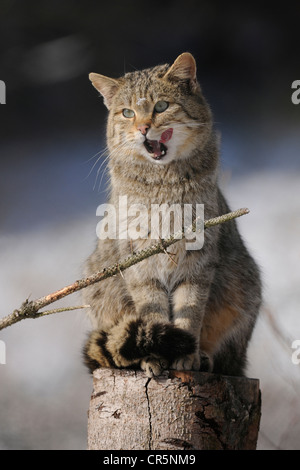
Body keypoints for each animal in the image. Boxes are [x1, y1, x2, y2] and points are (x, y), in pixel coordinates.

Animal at [83, 53, 262, 376]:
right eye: (127, 112)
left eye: (161, 106)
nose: (143, 128)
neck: (162, 184)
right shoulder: (139, 261)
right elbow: (152, 311)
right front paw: (155, 354)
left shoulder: (198, 258)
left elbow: (189, 310)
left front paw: (187, 355)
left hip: (245, 288)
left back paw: (205, 357)